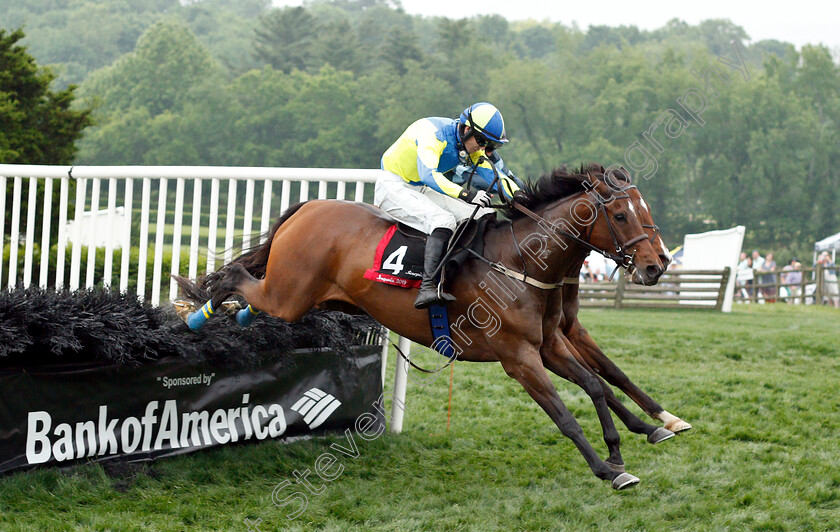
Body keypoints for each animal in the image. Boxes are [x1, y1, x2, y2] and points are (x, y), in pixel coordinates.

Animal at [176, 165, 664, 490]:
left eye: (646, 209)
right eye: (621, 216)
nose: (656, 265)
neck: (520, 262)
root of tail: (310, 206)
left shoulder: (548, 345)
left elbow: (596, 384)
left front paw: (621, 448)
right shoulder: (519, 359)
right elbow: (564, 416)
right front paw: (606, 470)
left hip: (304, 298)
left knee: (247, 294)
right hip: (289, 294)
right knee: (233, 276)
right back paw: (195, 315)